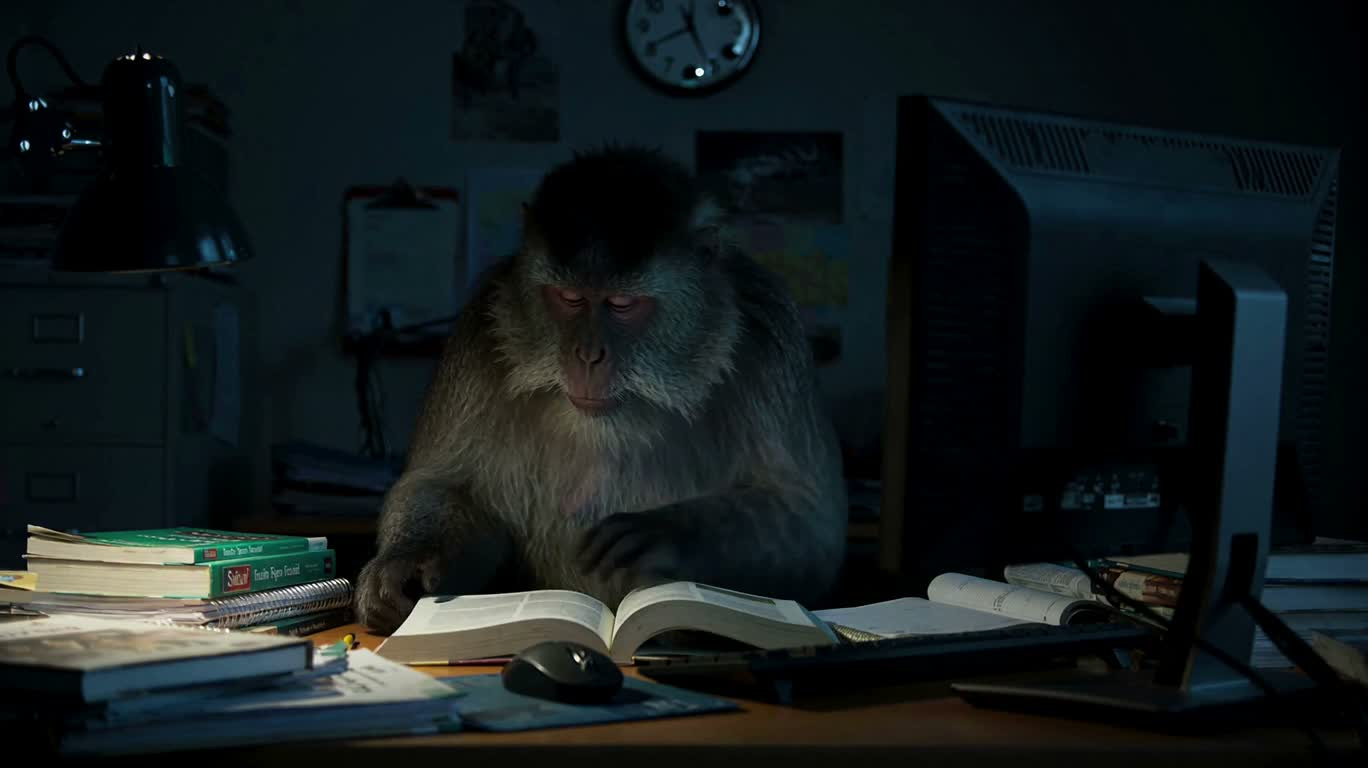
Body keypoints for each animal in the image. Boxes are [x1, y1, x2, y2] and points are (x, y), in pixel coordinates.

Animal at [354, 145, 848, 635]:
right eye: (569, 298)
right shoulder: (478, 331)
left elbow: (809, 523)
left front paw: (669, 533)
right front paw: (405, 563)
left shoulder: (772, 338)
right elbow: (443, 483)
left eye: (622, 304)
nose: (588, 355)